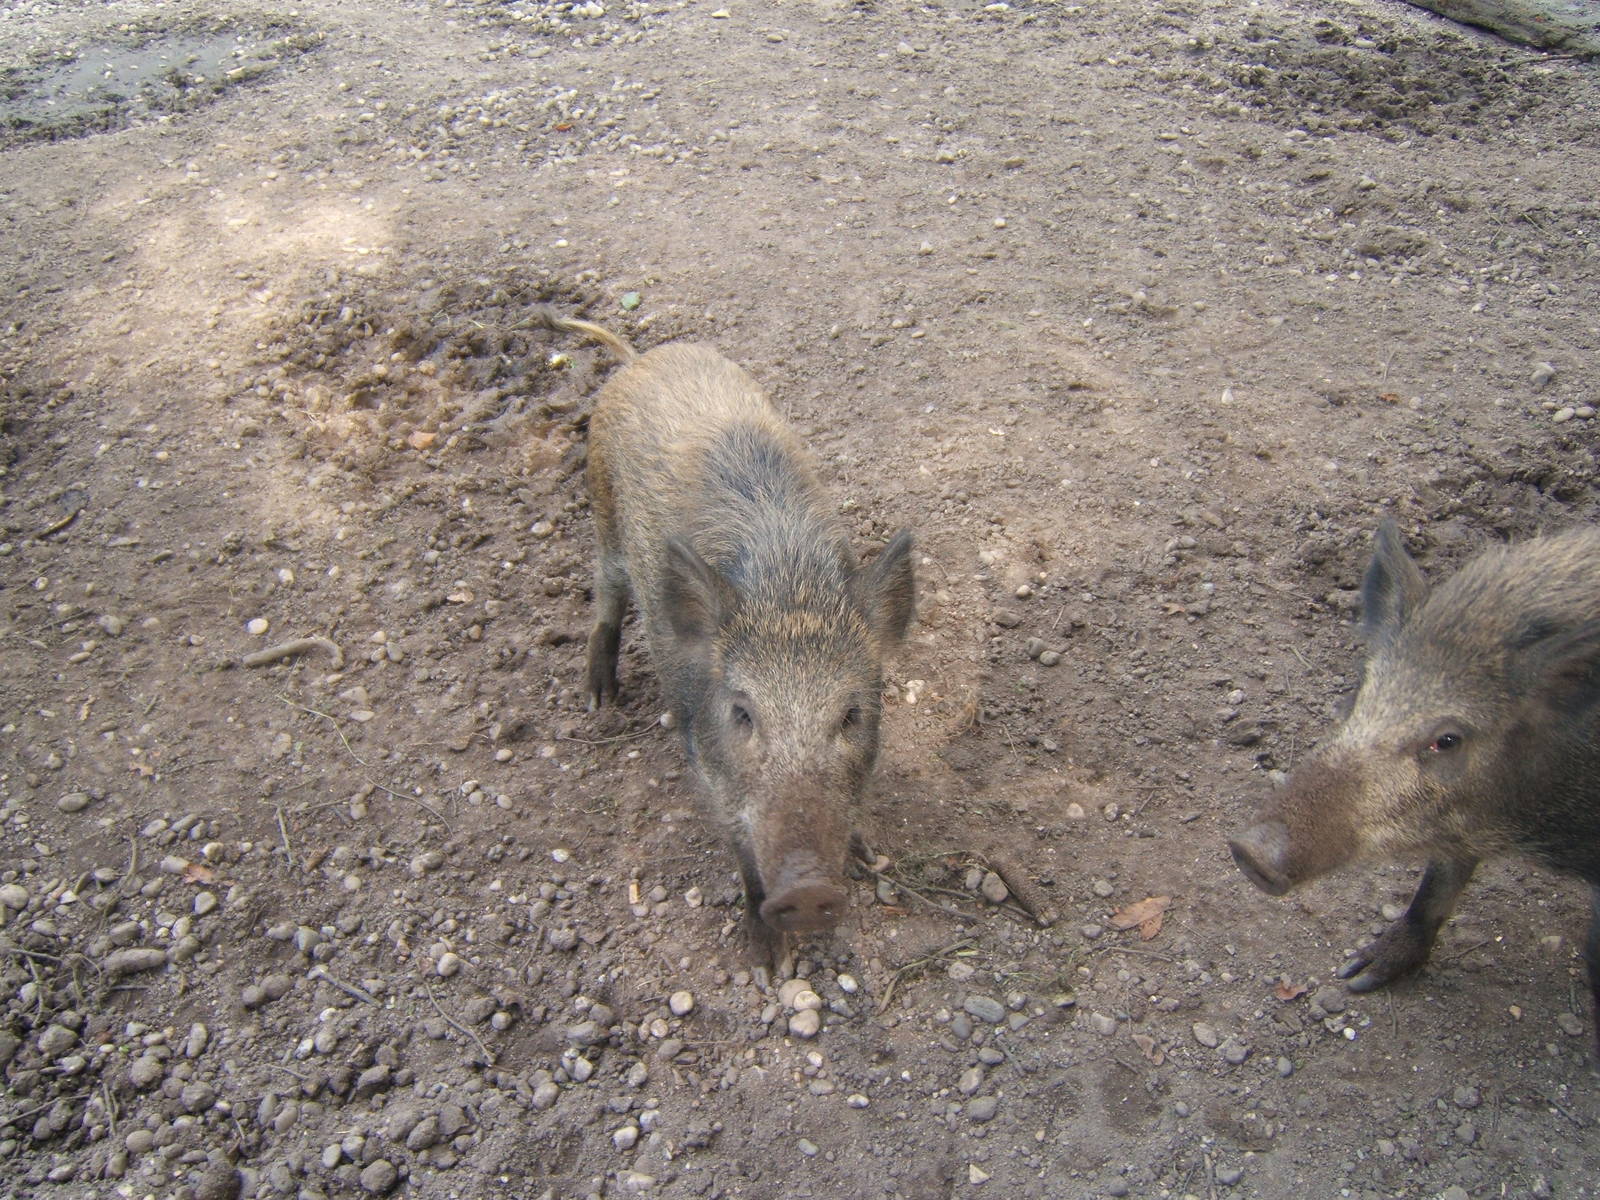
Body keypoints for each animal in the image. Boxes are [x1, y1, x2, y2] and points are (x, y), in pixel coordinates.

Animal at [540, 309, 915, 964]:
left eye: (851, 714)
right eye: (741, 712)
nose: (809, 889)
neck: (787, 586)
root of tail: (641, 359)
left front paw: (867, 854)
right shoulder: (706, 760)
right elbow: (739, 844)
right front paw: (767, 964)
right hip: (602, 511)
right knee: (605, 594)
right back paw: (598, 698)